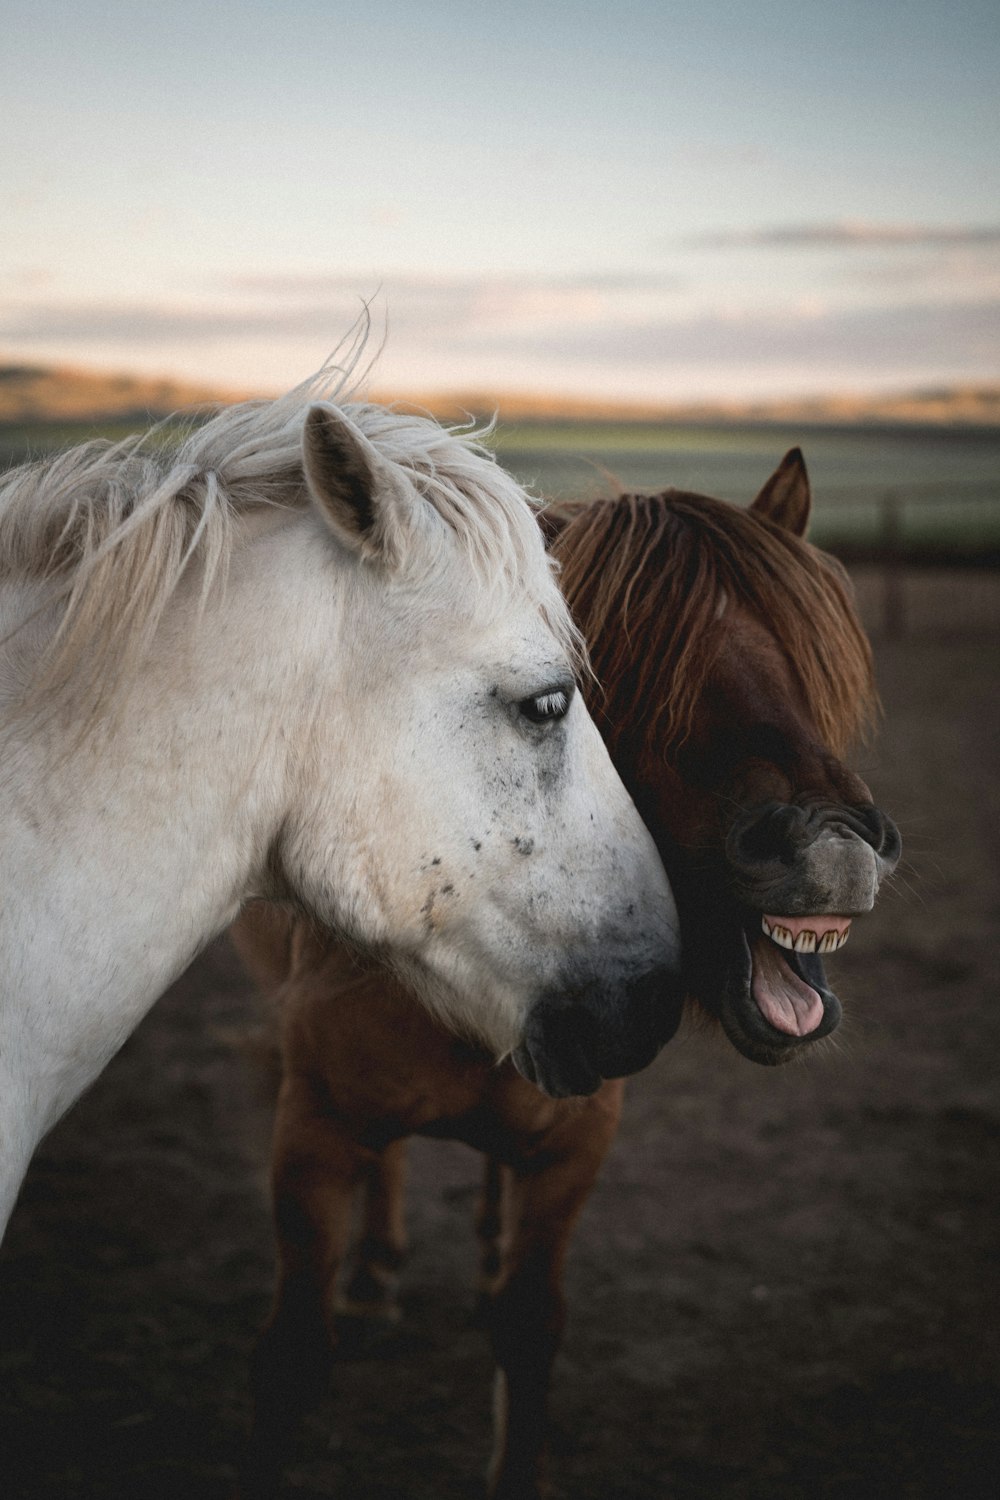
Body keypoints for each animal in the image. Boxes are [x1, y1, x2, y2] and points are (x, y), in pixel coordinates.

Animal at [232, 453, 899, 1500]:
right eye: (613, 678)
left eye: (804, 657)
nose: (831, 843)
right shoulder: (314, 1130)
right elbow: (294, 1353)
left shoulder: (572, 1148)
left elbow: (528, 1326)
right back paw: (376, 1275)